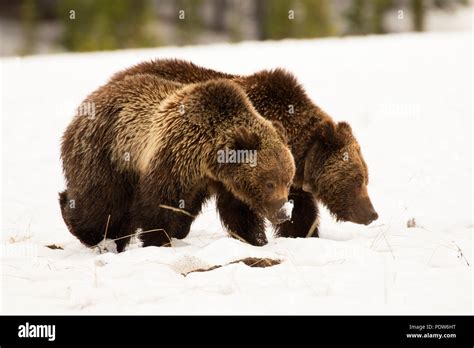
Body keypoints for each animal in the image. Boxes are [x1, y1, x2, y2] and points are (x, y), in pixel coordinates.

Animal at [59, 75, 294, 251]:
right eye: (270, 182)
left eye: (288, 181)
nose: (283, 213)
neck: (210, 159)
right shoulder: (174, 155)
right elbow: (160, 203)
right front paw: (158, 241)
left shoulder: (227, 182)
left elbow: (239, 212)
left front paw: (255, 240)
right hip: (106, 153)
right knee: (101, 201)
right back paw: (81, 225)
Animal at [108, 60, 378, 239]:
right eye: (357, 179)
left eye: (366, 177)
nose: (372, 214)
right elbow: (239, 209)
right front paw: (255, 238)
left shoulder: (290, 180)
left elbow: (301, 213)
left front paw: (302, 234)